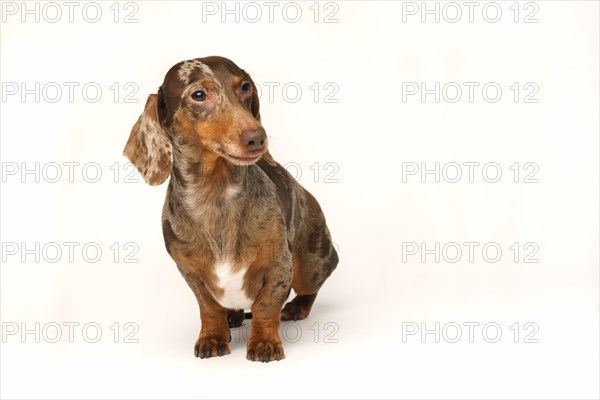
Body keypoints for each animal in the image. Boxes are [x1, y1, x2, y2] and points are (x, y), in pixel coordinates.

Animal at [123, 57, 338, 362]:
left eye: (245, 87)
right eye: (198, 94)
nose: (256, 137)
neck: (217, 195)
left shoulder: (279, 267)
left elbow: (265, 307)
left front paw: (264, 342)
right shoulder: (190, 274)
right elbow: (209, 309)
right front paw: (213, 336)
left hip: (309, 266)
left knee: (311, 287)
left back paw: (297, 307)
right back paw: (233, 316)